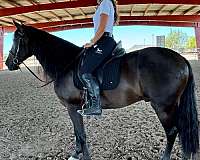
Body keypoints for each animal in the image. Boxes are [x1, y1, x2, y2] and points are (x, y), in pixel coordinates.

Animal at [5, 21, 198, 160]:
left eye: (16, 40)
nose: (7, 63)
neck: (66, 64)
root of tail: (181, 59)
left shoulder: (72, 107)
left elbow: (81, 134)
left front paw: (84, 157)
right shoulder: (74, 109)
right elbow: (77, 132)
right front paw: (76, 154)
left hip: (163, 107)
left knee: (172, 132)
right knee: (183, 129)